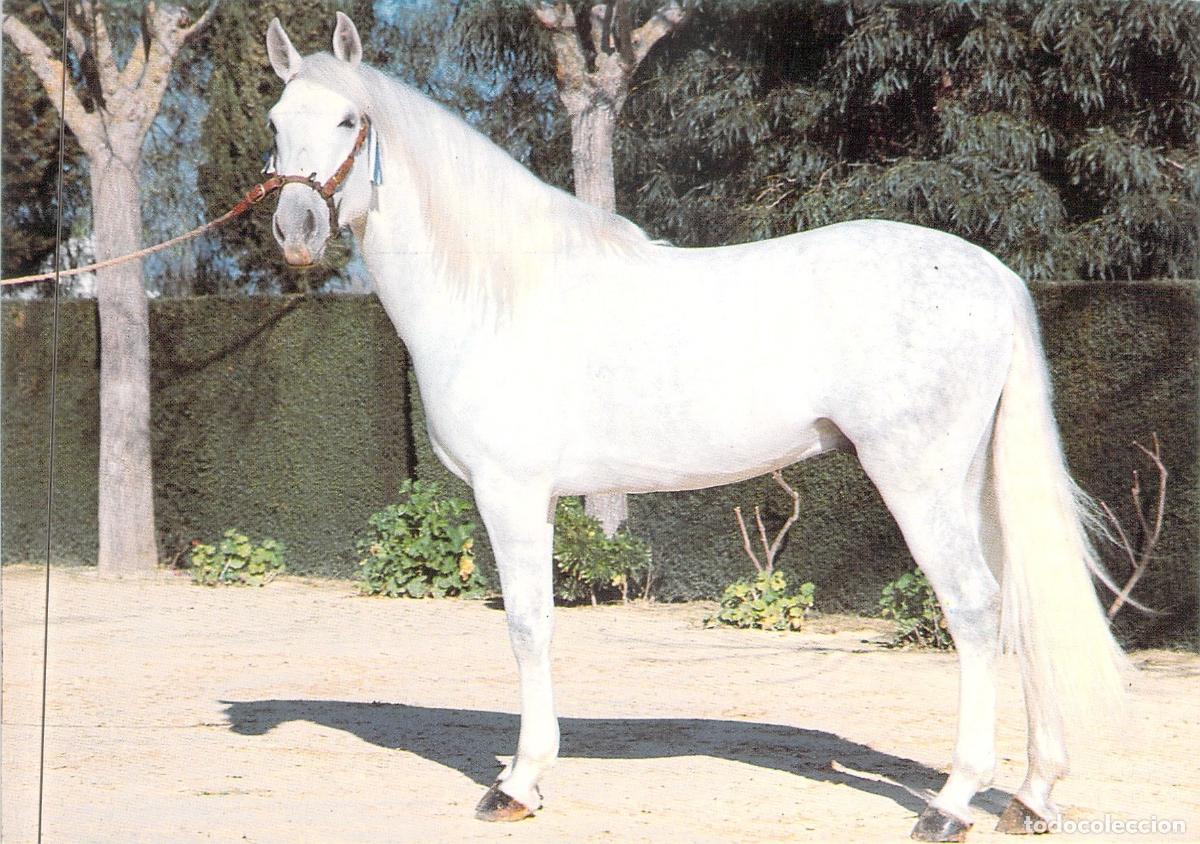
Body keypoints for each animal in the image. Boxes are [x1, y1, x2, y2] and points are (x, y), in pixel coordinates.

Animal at [261, 14, 1127, 842]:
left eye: (350, 119)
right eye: (276, 121)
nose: (296, 229)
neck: (497, 292)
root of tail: (996, 277)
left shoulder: (511, 493)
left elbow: (527, 624)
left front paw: (517, 785)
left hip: (918, 479)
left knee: (974, 609)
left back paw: (950, 803)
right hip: (975, 482)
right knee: (1022, 603)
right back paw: (1033, 795)